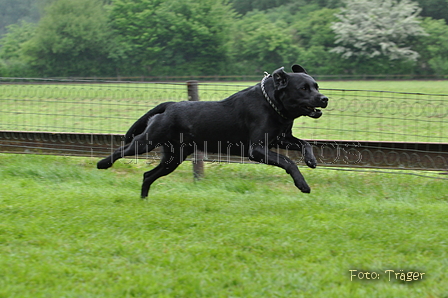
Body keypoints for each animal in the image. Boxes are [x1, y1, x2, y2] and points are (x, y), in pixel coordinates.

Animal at [98, 65, 328, 198]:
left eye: (316, 86)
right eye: (303, 88)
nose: (324, 98)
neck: (272, 104)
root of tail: (169, 106)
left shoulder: (281, 138)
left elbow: (305, 143)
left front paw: (311, 160)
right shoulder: (257, 149)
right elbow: (288, 162)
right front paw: (302, 185)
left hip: (174, 157)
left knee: (148, 175)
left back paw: (144, 199)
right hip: (147, 142)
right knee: (121, 151)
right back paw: (102, 164)